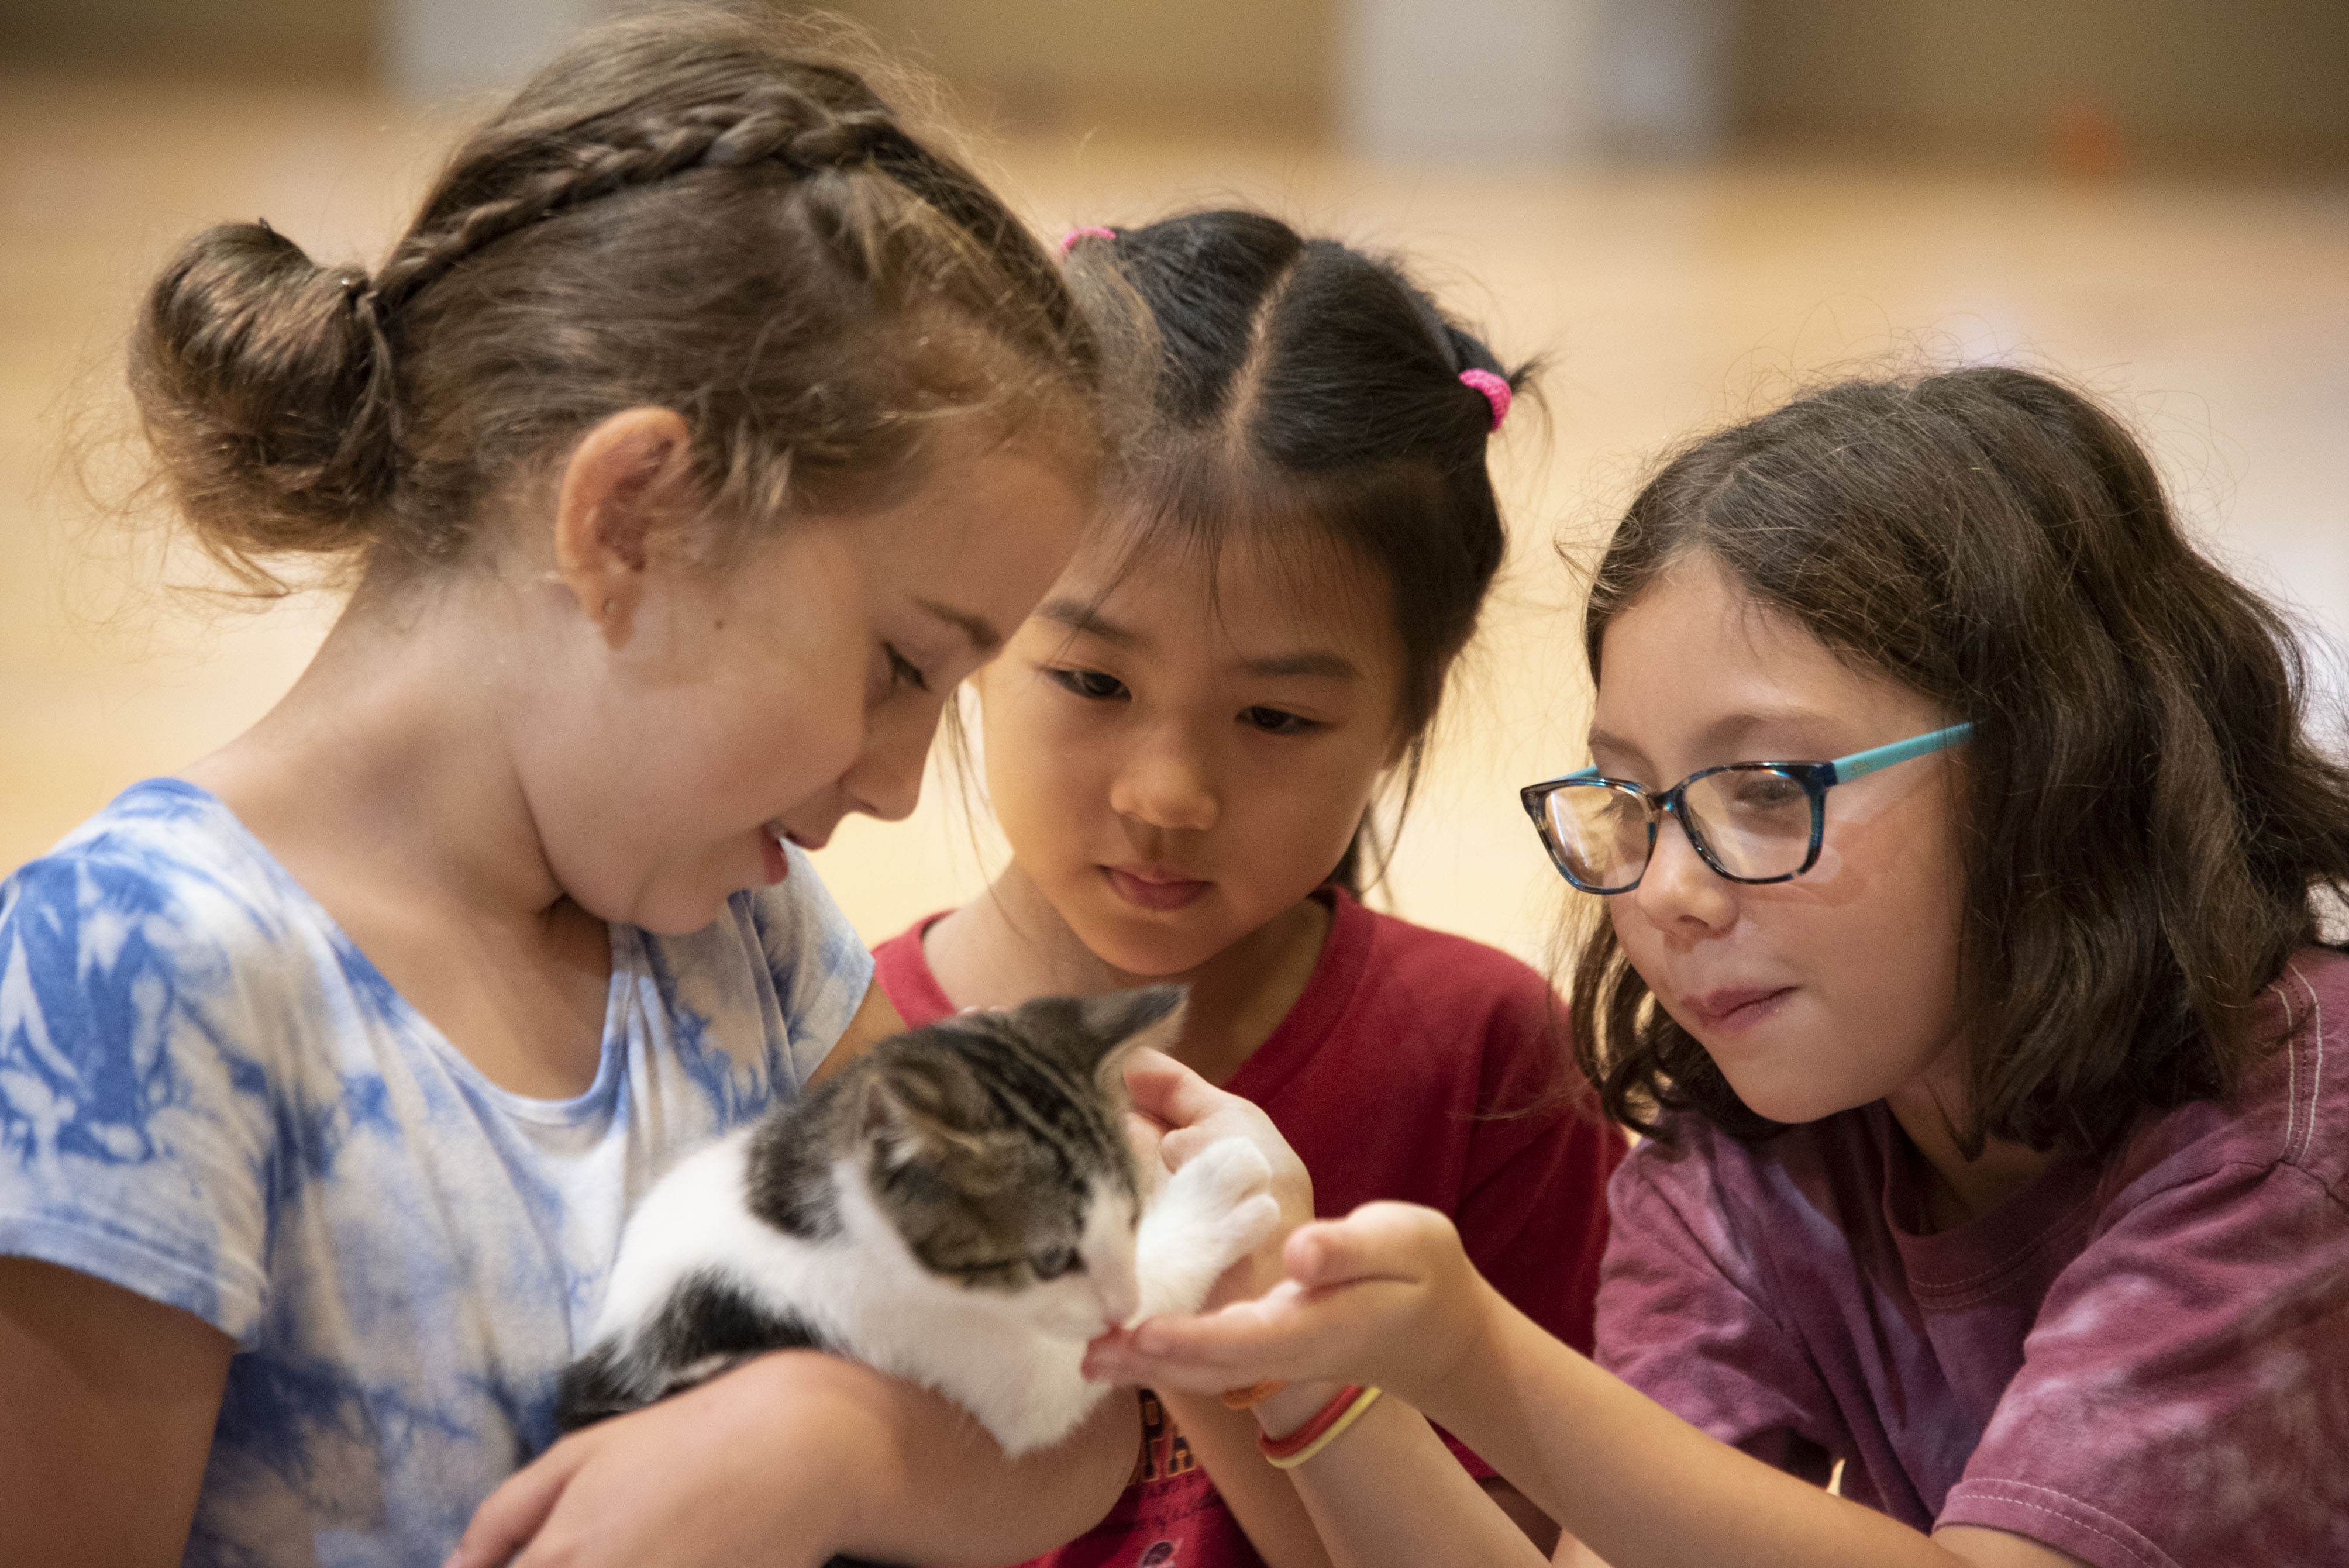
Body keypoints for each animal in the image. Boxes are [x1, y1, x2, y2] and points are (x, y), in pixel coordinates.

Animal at [556, 990, 1277, 1455]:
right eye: (1049, 1259)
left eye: (1128, 1216)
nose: (1120, 1306)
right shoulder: (927, 1334)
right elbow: (1053, 1383)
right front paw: (1220, 1190)